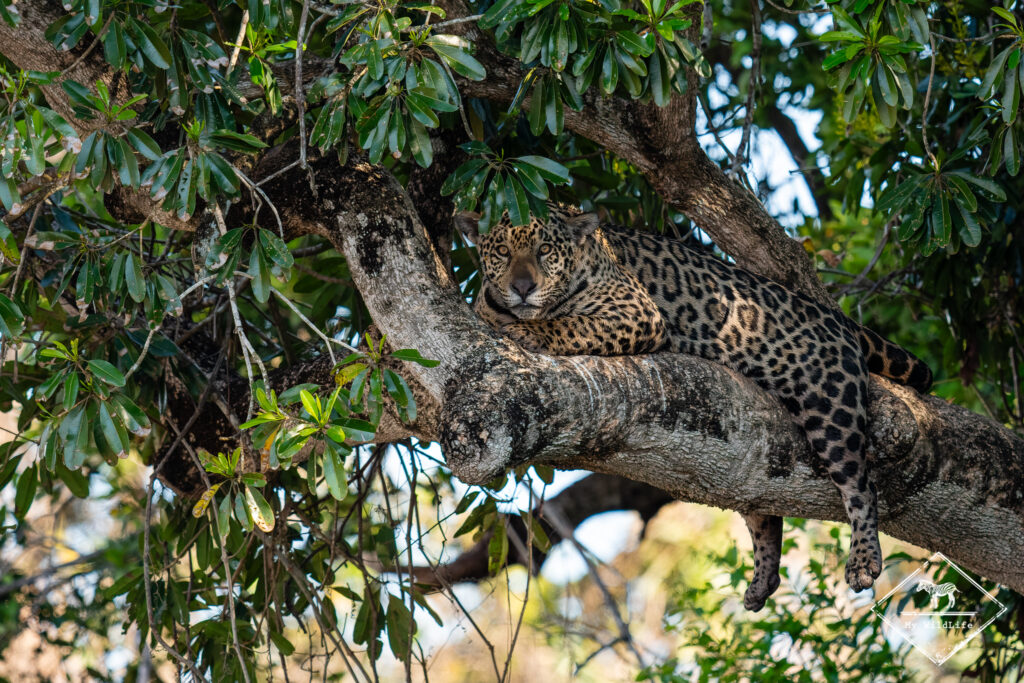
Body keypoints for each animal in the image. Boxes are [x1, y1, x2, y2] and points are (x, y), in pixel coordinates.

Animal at [455, 203, 933, 611]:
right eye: (502, 251)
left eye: (544, 250)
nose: (522, 288)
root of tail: (835, 317)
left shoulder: (635, 312)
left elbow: (569, 323)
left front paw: (531, 331)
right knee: (761, 507)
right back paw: (762, 580)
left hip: (829, 400)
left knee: (860, 483)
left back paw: (864, 561)